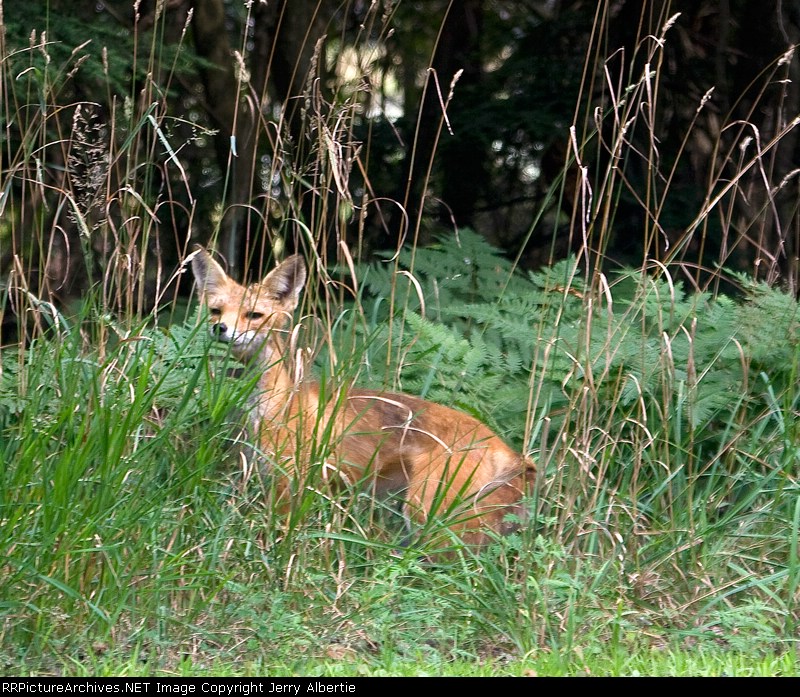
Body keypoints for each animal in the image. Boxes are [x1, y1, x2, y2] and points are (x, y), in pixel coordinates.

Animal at [190, 246, 535, 547]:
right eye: (216, 311)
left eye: (254, 315)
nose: (220, 328)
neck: (274, 405)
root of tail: (503, 445)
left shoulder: (290, 484)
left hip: (429, 516)